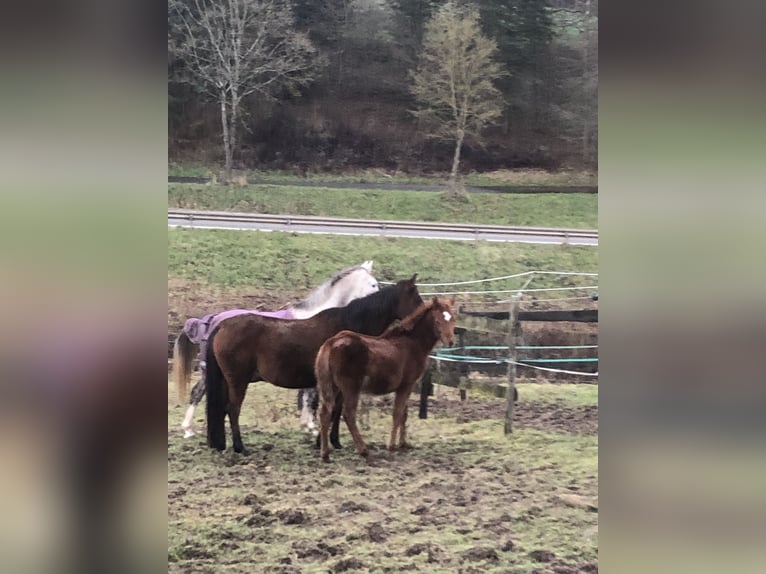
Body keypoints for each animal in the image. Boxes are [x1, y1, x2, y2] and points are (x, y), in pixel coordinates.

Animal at [172, 264, 380, 438]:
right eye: (373, 285)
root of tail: (209, 320)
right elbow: (311, 397)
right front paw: (312, 427)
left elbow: (306, 395)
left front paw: (306, 425)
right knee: (198, 392)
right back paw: (188, 429)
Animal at [207, 276, 424, 456]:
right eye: (417, 300)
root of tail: (222, 325)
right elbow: (333, 410)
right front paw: (324, 441)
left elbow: (336, 410)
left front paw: (333, 441)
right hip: (238, 381)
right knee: (233, 409)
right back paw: (240, 447)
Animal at [316, 296, 456, 464]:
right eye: (437, 320)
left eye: (452, 318)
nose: (450, 342)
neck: (412, 343)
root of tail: (331, 343)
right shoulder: (406, 385)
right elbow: (397, 413)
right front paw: (391, 448)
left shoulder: (407, 387)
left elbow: (404, 413)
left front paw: (403, 444)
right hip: (350, 388)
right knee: (349, 415)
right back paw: (365, 452)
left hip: (332, 387)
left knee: (324, 413)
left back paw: (325, 454)